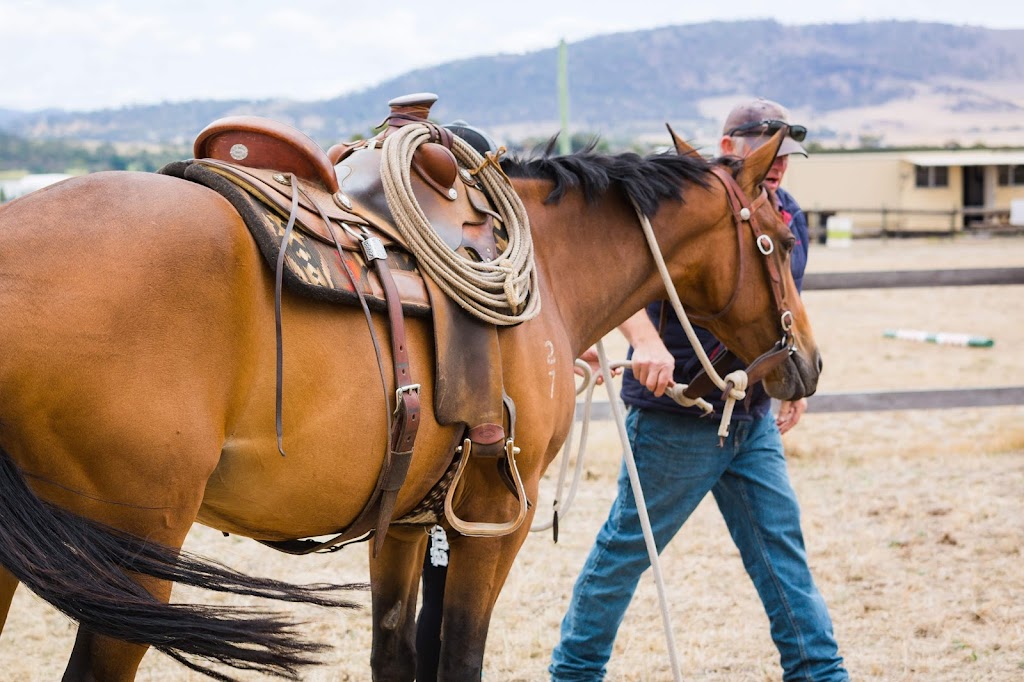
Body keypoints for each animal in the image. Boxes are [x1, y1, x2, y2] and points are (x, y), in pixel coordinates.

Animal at [0, 124, 819, 675]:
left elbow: (394, 651)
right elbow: (459, 657)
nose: (807, 363)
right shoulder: (496, 518)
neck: (550, 272)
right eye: (780, 237)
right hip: (136, 546)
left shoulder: (401, 523)